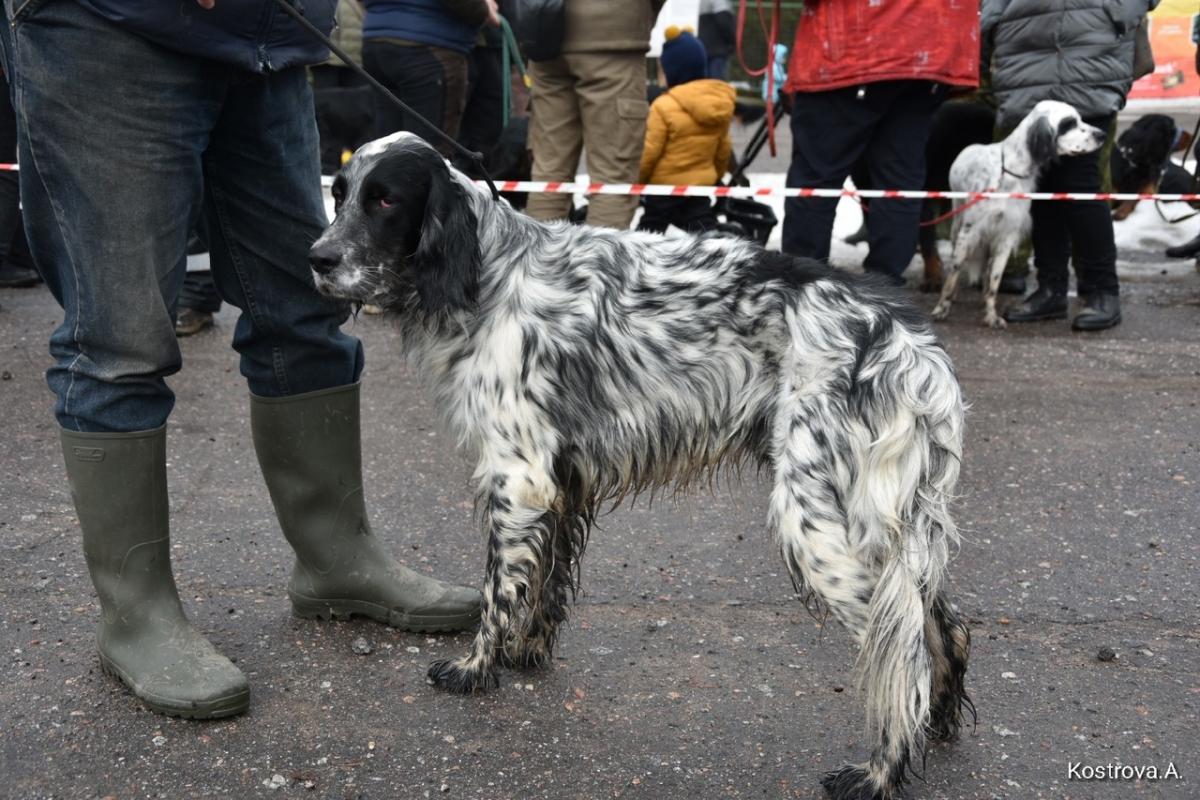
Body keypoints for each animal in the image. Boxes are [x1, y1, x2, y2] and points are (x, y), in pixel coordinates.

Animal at [310, 132, 973, 800]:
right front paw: (526, 655)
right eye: (339, 194)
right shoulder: (562, 482)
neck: (489, 274)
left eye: (385, 199)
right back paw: (936, 726)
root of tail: (910, 346)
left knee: (902, 654)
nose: (317, 258)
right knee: (940, 628)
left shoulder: (518, 478)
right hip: (888, 527)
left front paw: (475, 668)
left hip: (819, 526)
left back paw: (880, 773)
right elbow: (545, 586)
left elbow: (499, 589)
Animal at [930, 101, 1106, 329]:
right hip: (957, 223)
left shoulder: (1006, 234)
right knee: (957, 265)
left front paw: (991, 315)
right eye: (1069, 123)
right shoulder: (970, 233)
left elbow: (995, 279)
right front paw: (941, 308)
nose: (1102, 135)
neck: (1009, 170)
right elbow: (954, 274)